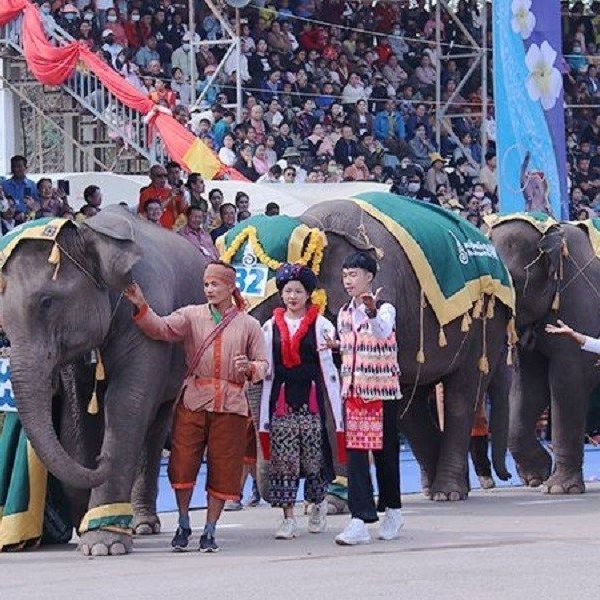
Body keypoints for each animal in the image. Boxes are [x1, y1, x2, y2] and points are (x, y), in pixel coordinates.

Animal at [1, 209, 209, 556]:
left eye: (46, 302)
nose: (100, 461)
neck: (88, 233)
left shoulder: (148, 317)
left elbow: (127, 404)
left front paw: (102, 545)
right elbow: (81, 416)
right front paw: (91, 531)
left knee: (156, 425)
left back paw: (143, 525)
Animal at [246, 198, 512, 502]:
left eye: (280, 295)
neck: (312, 223)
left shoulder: (386, 286)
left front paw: (337, 500)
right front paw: (329, 501)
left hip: (487, 320)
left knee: (461, 395)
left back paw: (448, 492)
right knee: (411, 405)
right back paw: (440, 488)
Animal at [488, 216, 600, 492]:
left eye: (513, 282)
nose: (505, 477)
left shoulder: (580, 307)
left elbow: (568, 382)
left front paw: (558, 488)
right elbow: (529, 386)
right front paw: (536, 477)